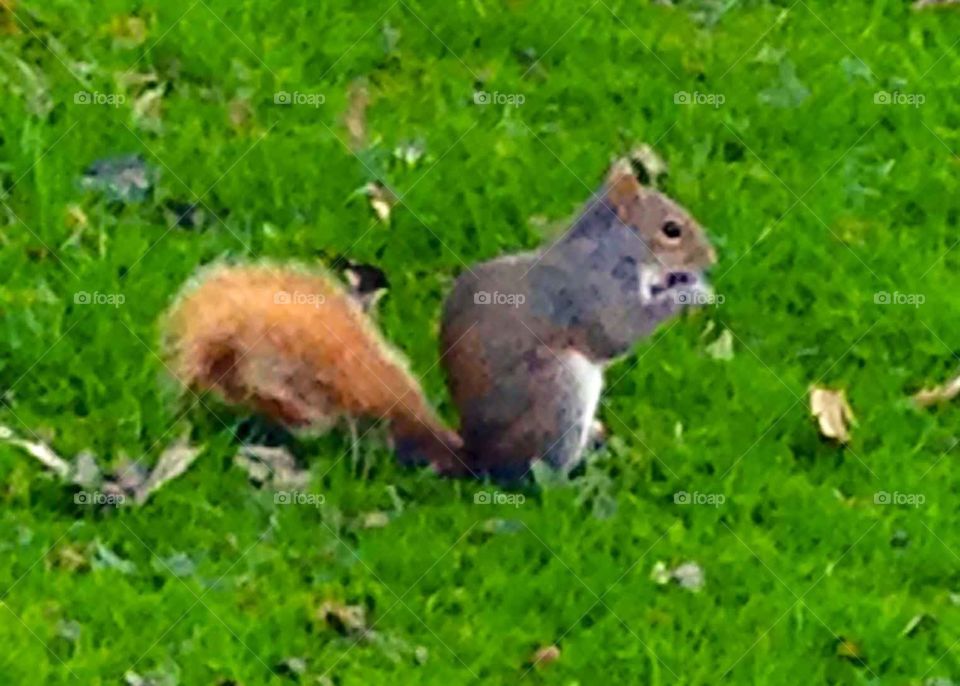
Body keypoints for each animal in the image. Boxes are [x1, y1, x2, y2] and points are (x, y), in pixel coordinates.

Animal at [163, 161, 712, 482]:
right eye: (671, 229)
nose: (712, 257)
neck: (613, 250)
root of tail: (478, 459)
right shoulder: (586, 292)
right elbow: (615, 330)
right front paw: (688, 293)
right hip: (560, 394)